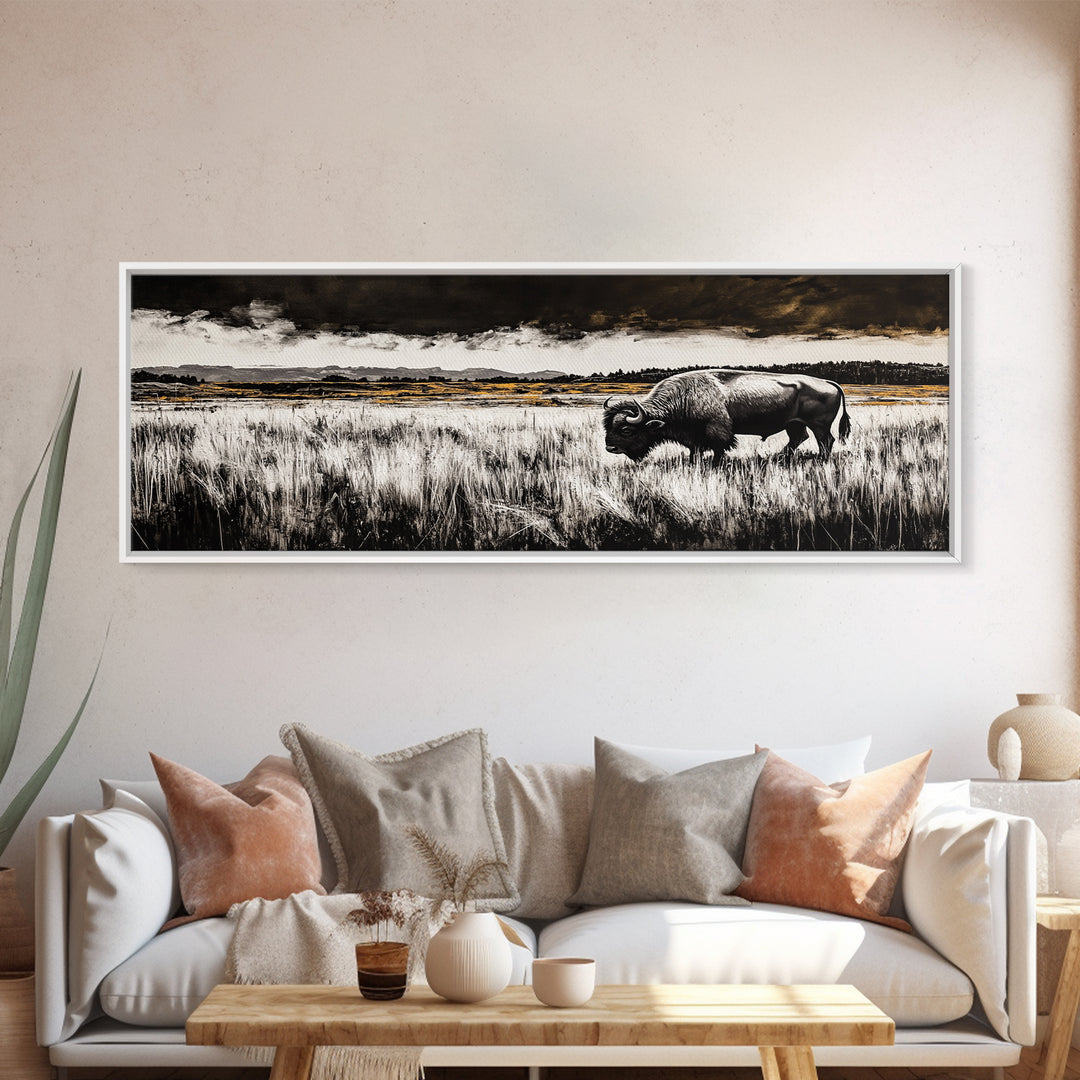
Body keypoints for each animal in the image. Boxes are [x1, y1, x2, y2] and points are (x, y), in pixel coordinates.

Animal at [603, 369, 851, 464]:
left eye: (626, 429)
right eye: (608, 427)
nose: (610, 448)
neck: (684, 396)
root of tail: (827, 381)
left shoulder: (716, 431)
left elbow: (719, 447)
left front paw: (716, 464)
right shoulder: (693, 438)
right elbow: (695, 450)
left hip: (818, 425)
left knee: (825, 441)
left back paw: (820, 460)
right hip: (794, 424)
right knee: (799, 438)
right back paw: (781, 457)